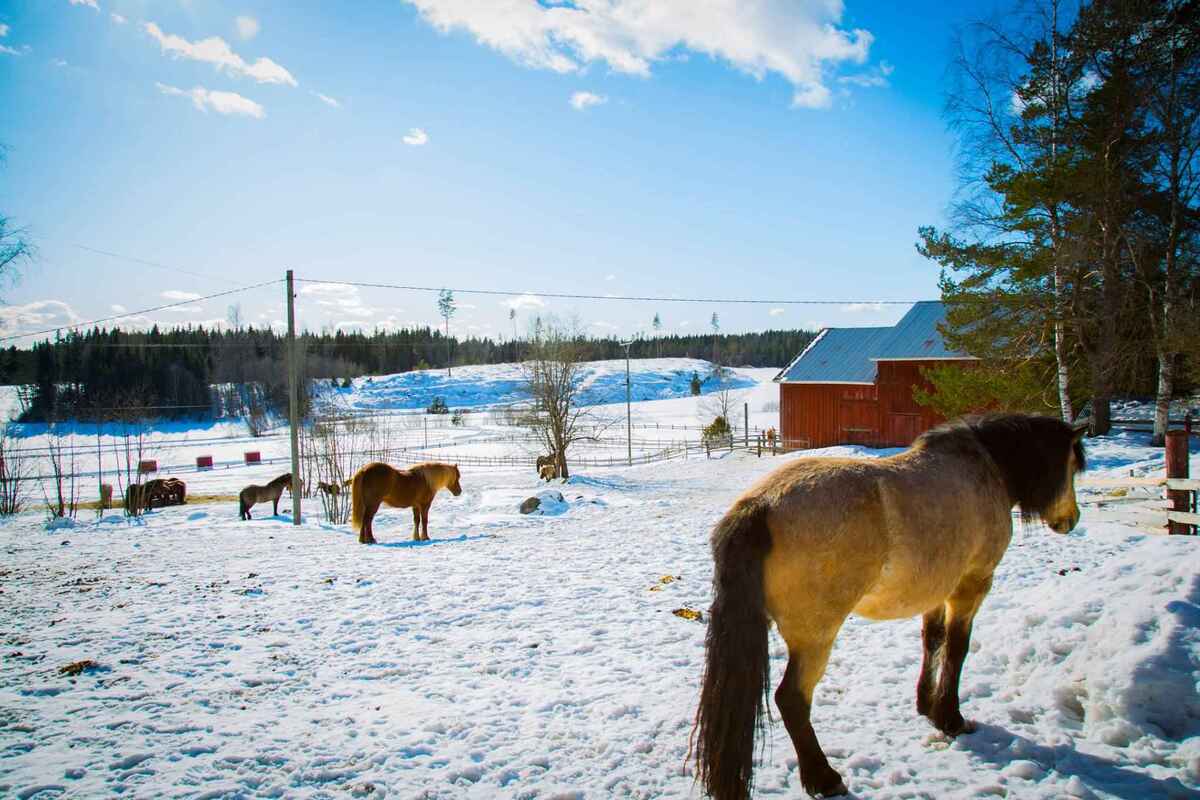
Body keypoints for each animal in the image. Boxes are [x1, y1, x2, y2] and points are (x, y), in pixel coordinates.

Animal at [692, 414, 1087, 799]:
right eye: (1071, 465)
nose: (1071, 519)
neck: (987, 467)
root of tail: (761, 505)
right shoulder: (971, 586)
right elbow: (957, 649)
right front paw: (951, 718)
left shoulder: (935, 591)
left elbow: (933, 641)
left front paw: (926, 704)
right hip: (815, 638)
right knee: (791, 699)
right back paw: (824, 778)